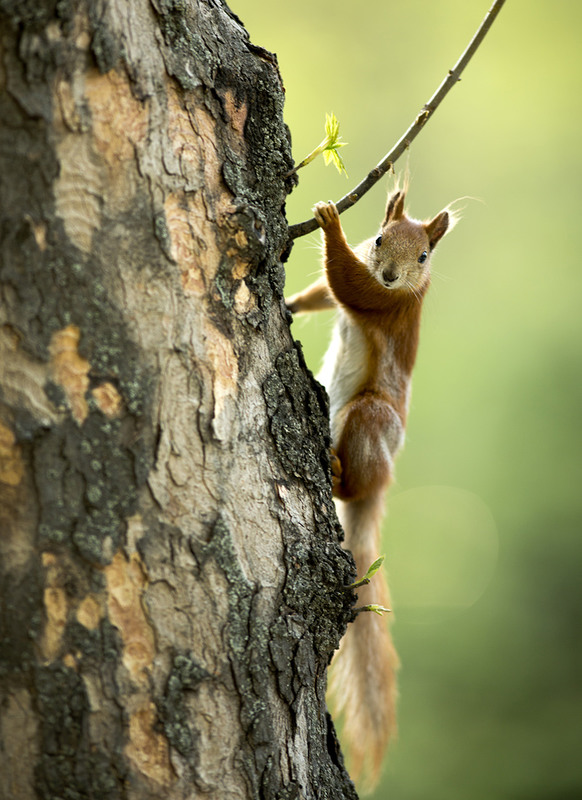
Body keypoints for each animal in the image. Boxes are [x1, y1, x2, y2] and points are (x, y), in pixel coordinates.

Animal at [288, 191, 452, 792]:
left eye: (425, 256)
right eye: (380, 238)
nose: (390, 275)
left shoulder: (389, 307)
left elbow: (347, 286)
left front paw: (328, 221)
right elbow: (327, 291)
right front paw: (291, 303)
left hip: (369, 418)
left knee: (355, 475)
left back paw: (337, 473)